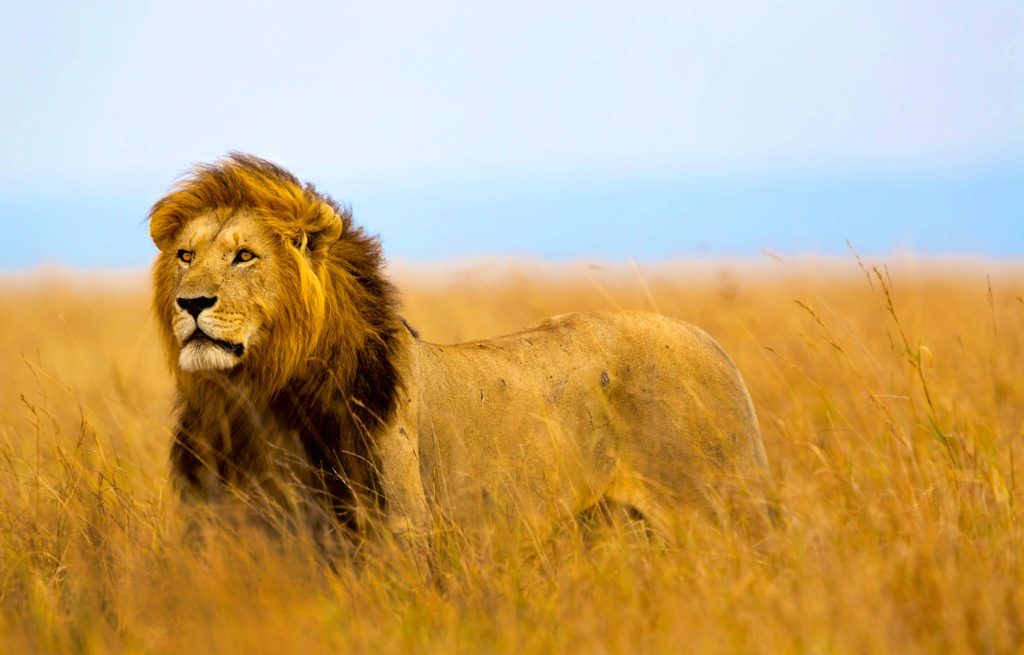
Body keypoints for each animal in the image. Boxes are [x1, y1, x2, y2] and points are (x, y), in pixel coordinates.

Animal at [149, 153, 770, 543]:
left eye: (244, 256)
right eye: (185, 256)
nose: (191, 303)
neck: (255, 397)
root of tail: (714, 345)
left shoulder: (397, 532)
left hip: (721, 511)